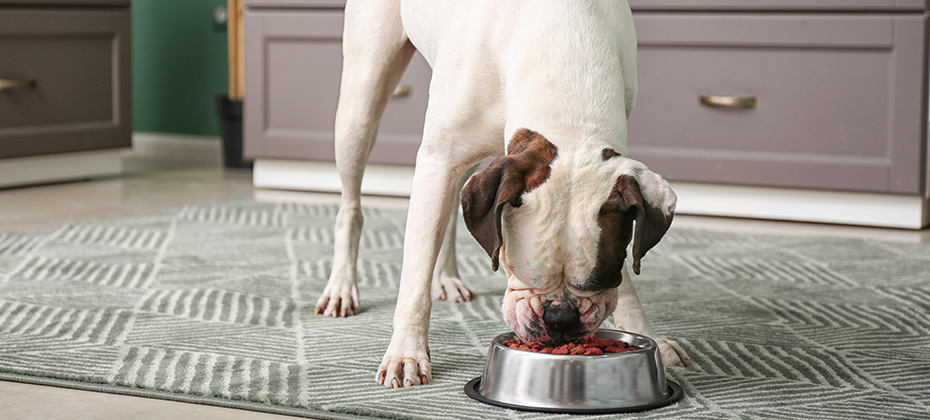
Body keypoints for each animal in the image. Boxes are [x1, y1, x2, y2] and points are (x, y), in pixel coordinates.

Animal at [318, 0, 688, 388]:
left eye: (601, 279)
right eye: (520, 273)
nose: (561, 318)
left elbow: (626, 285)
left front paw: (648, 335)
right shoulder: (437, 161)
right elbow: (415, 275)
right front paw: (406, 353)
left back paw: (446, 278)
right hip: (361, 104)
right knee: (352, 206)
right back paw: (341, 287)